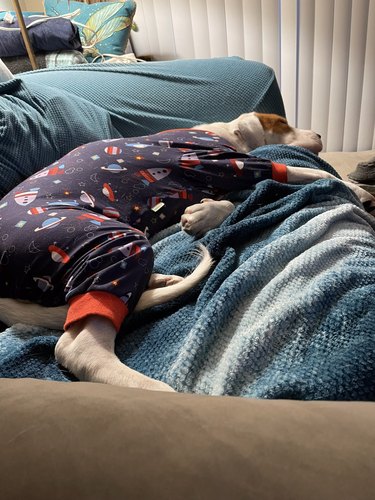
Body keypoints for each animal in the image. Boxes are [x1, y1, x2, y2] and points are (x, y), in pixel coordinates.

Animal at [0, 112, 374, 390]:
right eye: (283, 124)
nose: (320, 134)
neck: (223, 133)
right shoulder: (229, 162)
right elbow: (311, 171)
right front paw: (357, 189)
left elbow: (237, 200)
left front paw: (202, 215)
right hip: (103, 240)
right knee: (81, 347)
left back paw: (159, 281)